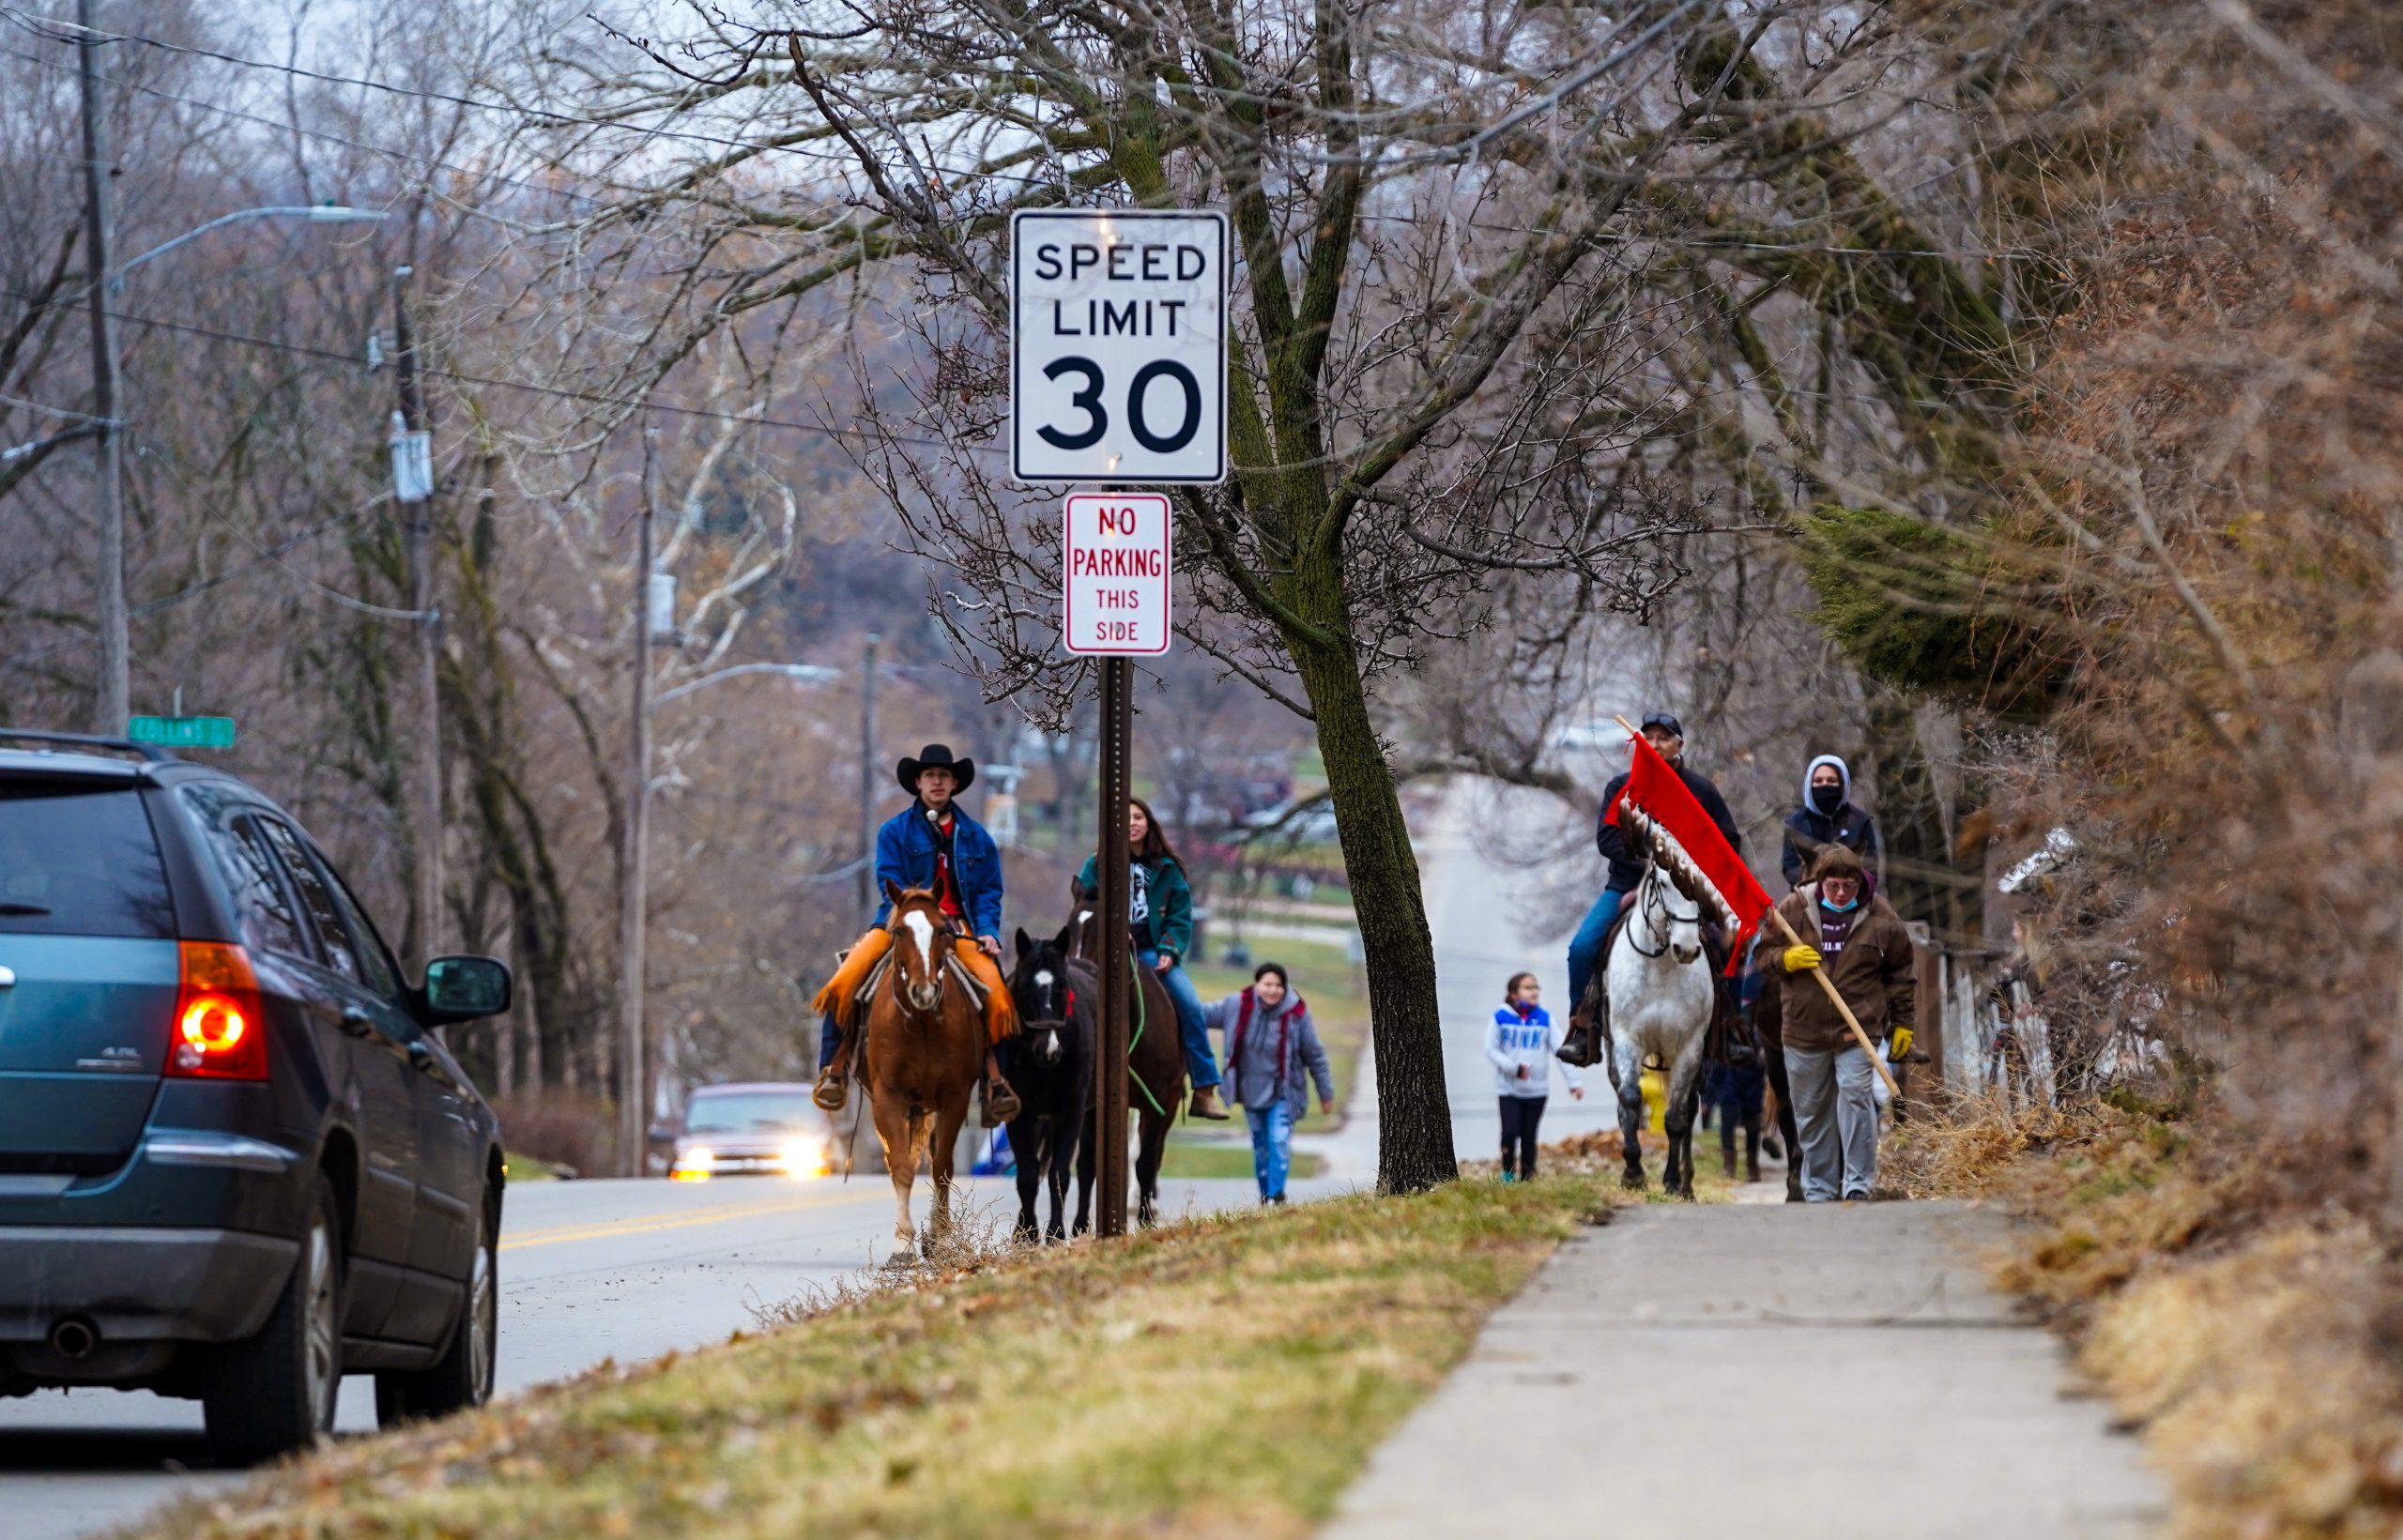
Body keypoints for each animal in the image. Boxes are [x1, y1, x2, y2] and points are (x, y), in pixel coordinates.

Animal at [865, 874, 1004, 1249]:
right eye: (899, 931)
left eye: (943, 929)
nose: (923, 990)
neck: (923, 1021)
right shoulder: (887, 1097)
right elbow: (901, 1165)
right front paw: (903, 1242)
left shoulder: (955, 1097)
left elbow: (941, 1165)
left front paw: (940, 1236)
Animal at [1004, 922, 1100, 1239]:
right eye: (1024, 986)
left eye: (1062, 985)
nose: (1049, 1049)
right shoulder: (1019, 1113)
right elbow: (1027, 1174)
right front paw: (1028, 1233)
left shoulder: (1071, 1110)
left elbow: (1060, 1173)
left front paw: (1056, 1232)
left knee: (1085, 1166)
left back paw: (1080, 1226)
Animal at [1066, 893, 1186, 1229]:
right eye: (1070, 927)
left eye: (1102, 930)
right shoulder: (1093, 1104)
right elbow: (1087, 1162)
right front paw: (1080, 1224)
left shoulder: (1158, 1102)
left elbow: (1145, 1162)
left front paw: (1145, 1220)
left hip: (1168, 1104)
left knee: (1153, 1155)